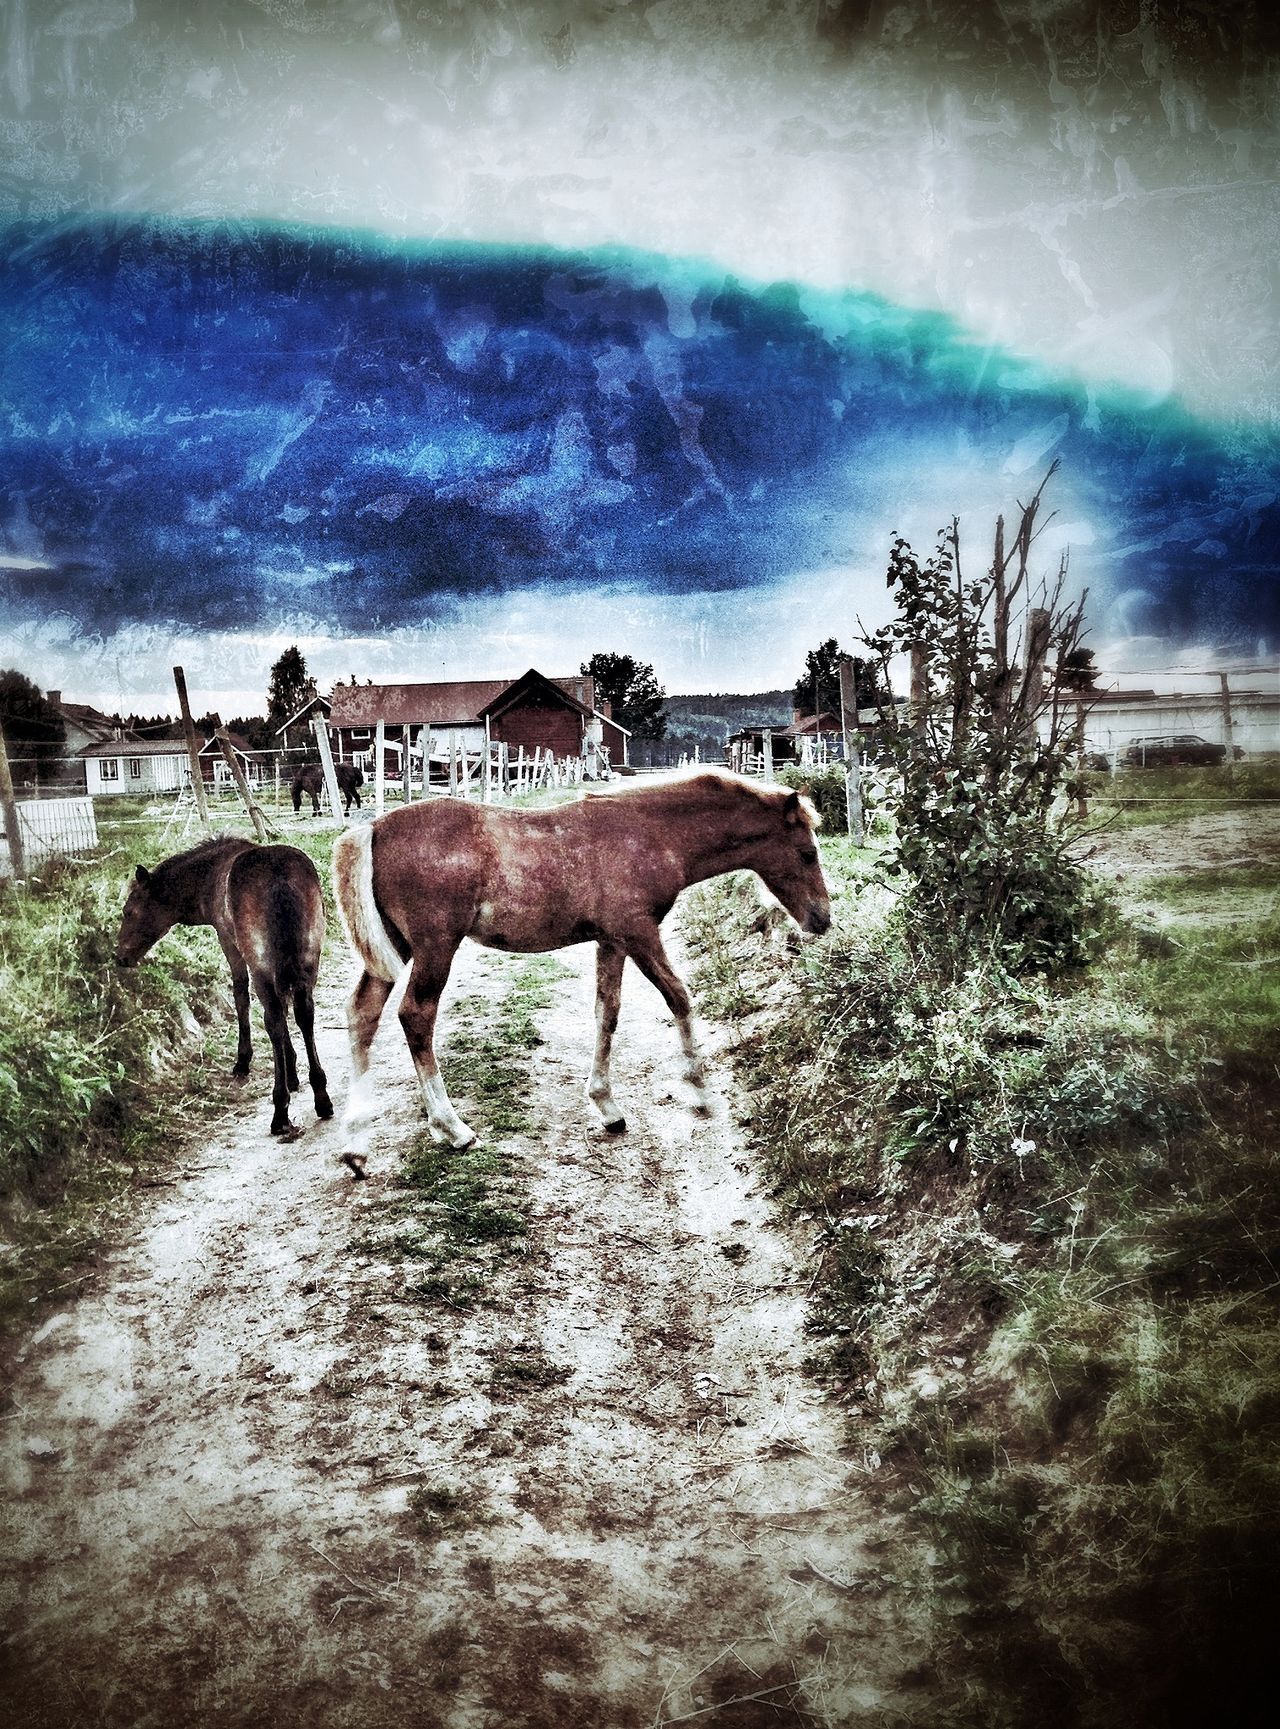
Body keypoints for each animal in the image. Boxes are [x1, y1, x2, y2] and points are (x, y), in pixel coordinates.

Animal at [116, 833, 332, 1141]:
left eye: (129, 912)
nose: (120, 956)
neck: (210, 876)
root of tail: (279, 875)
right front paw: (293, 1071)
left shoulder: (228, 941)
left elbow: (241, 995)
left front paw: (245, 1061)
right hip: (309, 957)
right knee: (303, 1013)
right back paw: (322, 1097)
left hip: (261, 963)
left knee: (274, 1020)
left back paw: (280, 1112)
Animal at [330, 771, 830, 1148]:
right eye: (808, 852)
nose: (822, 918)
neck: (650, 833)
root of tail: (373, 829)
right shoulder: (638, 933)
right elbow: (679, 997)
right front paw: (699, 1088)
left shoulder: (612, 941)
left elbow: (606, 1012)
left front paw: (607, 1105)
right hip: (436, 947)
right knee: (416, 1015)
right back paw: (451, 1128)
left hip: (395, 949)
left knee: (362, 1013)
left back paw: (356, 1136)